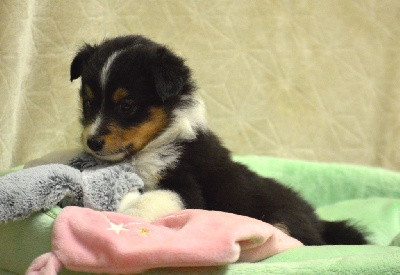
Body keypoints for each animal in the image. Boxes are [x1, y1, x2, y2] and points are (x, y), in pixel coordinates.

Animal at [69, 35, 366, 246]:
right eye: (88, 102)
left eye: (127, 106)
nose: (92, 142)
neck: (157, 142)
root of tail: (319, 221)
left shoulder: (186, 187)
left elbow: (149, 202)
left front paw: (121, 219)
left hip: (282, 220)